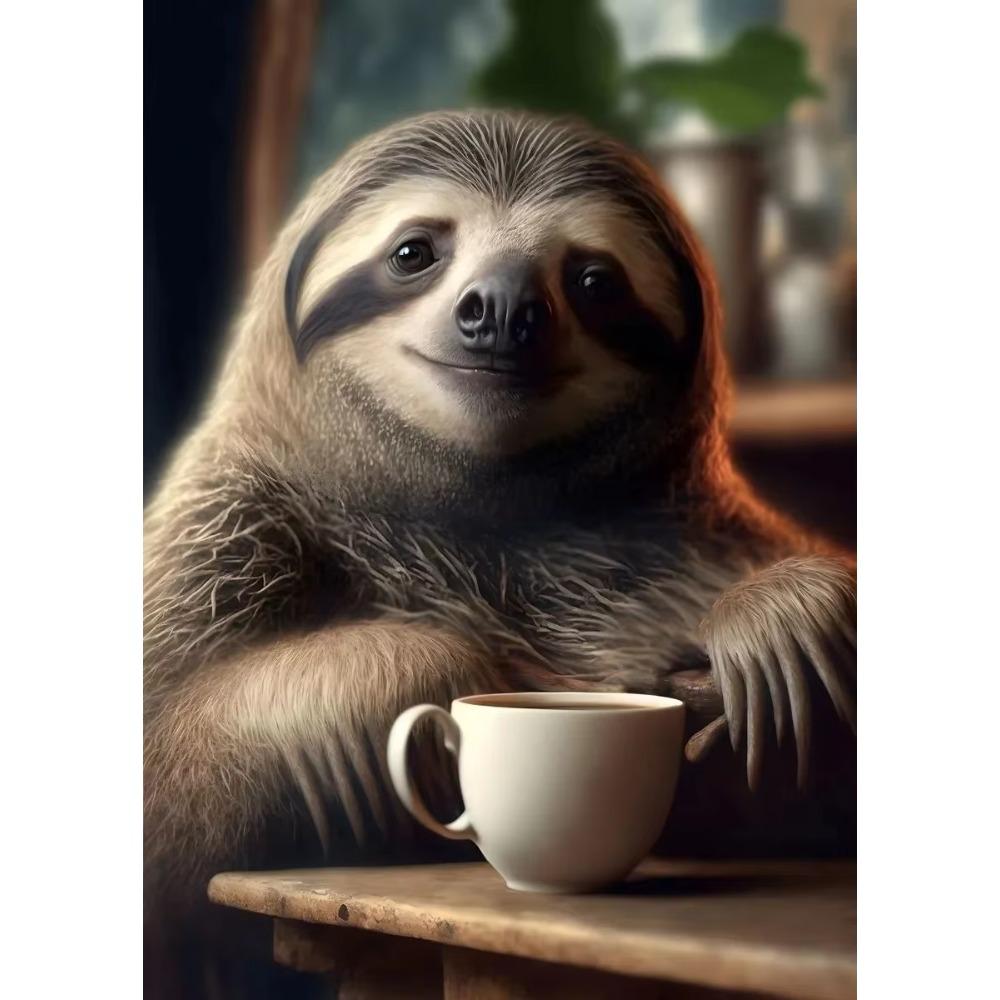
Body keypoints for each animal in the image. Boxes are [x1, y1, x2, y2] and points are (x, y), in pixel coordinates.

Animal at [144, 109, 855, 996]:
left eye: (595, 280)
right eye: (414, 251)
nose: (504, 306)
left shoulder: (708, 533)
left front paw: (780, 617)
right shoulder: (222, 526)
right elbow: (160, 803)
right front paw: (405, 670)